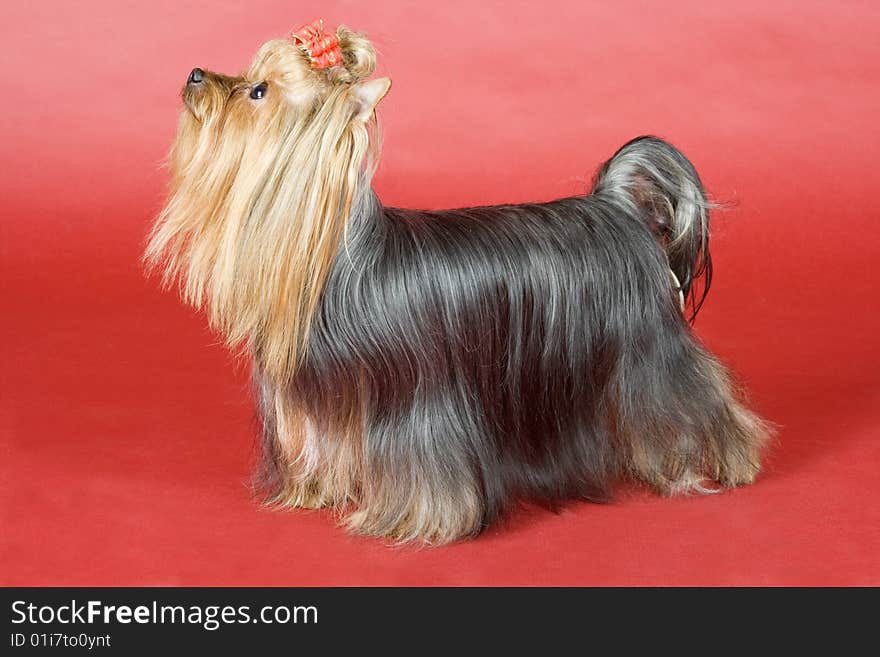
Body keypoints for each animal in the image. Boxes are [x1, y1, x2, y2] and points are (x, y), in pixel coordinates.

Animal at [150, 20, 768, 544]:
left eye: (258, 92)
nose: (196, 74)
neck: (335, 263)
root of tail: (617, 204)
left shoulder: (415, 407)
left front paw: (416, 522)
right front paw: (319, 492)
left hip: (647, 348)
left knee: (690, 395)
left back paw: (730, 462)